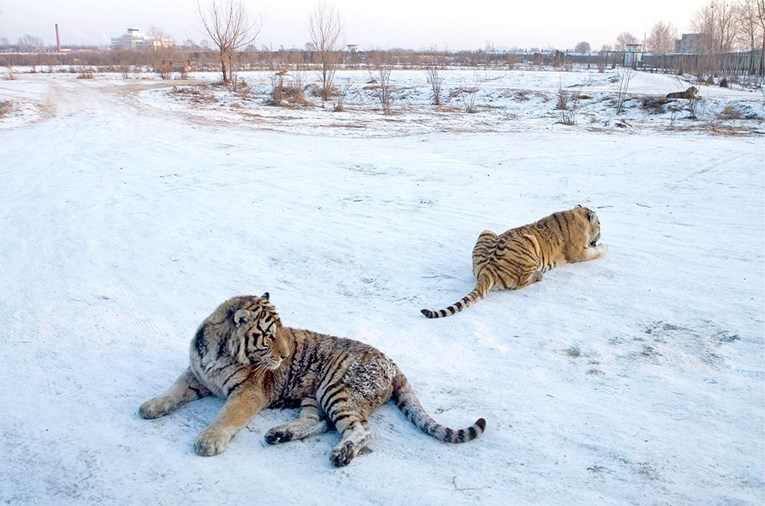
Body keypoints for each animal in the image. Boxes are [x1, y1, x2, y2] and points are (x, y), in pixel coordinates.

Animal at [139, 292, 484, 466]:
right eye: (269, 336)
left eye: (281, 330)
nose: (285, 354)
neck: (219, 352)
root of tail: (392, 363)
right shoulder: (196, 374)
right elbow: (173, 390)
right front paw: (151, 406)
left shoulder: (248, 392)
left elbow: (227, 415)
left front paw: (209, 441)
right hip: (313, 396)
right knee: (319, 423)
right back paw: (279, 434)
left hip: (338, 389)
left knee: (360, 430)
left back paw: (341, 454)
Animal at [420, 205, 604, 316]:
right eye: (600, 224)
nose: (601, 234)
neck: (574, 214)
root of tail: (487, 268)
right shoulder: (579, 253)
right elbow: (598, 252)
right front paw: (604, 246)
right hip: (530, 240)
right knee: (521, 283)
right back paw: (538, 275)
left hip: (486, 231)